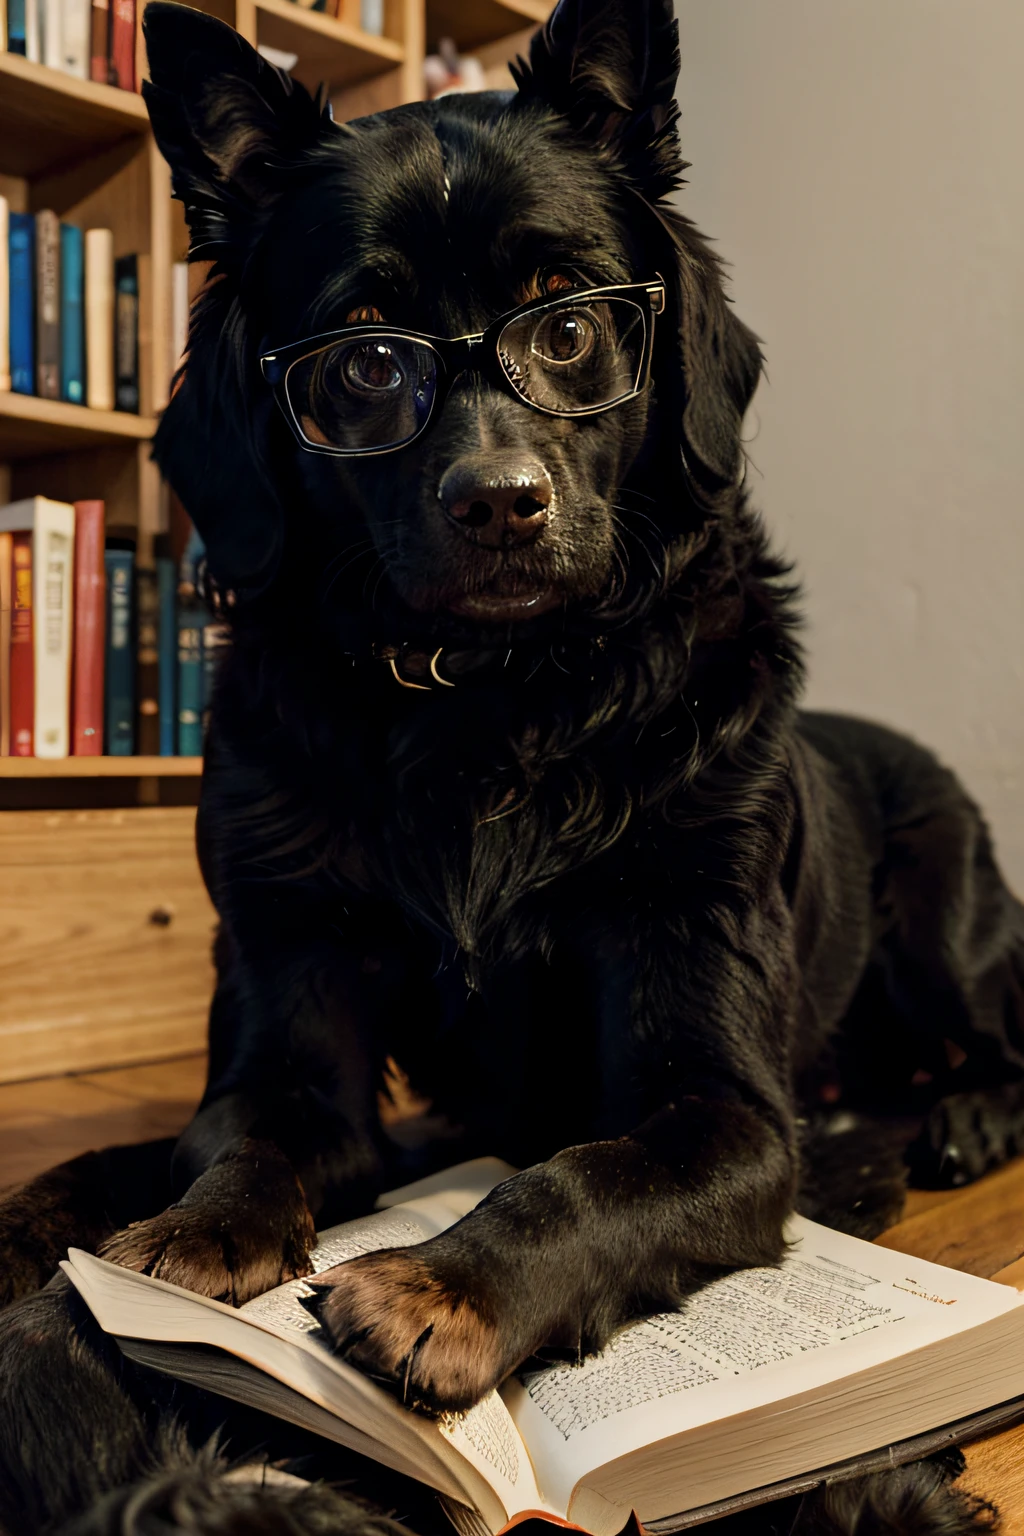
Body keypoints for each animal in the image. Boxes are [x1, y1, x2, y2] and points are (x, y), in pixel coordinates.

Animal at [2, 3, 1024, 1523]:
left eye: (573, 323)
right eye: (365, 361)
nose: (500, 504)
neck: (486, 707)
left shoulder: (724, 1107)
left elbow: (588, 1174)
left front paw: (436, 1288)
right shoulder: (304, 1008)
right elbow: (241, 1130)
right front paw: (178, 1231)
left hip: (938, 943)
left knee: (998, 1042)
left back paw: (958, 1120)